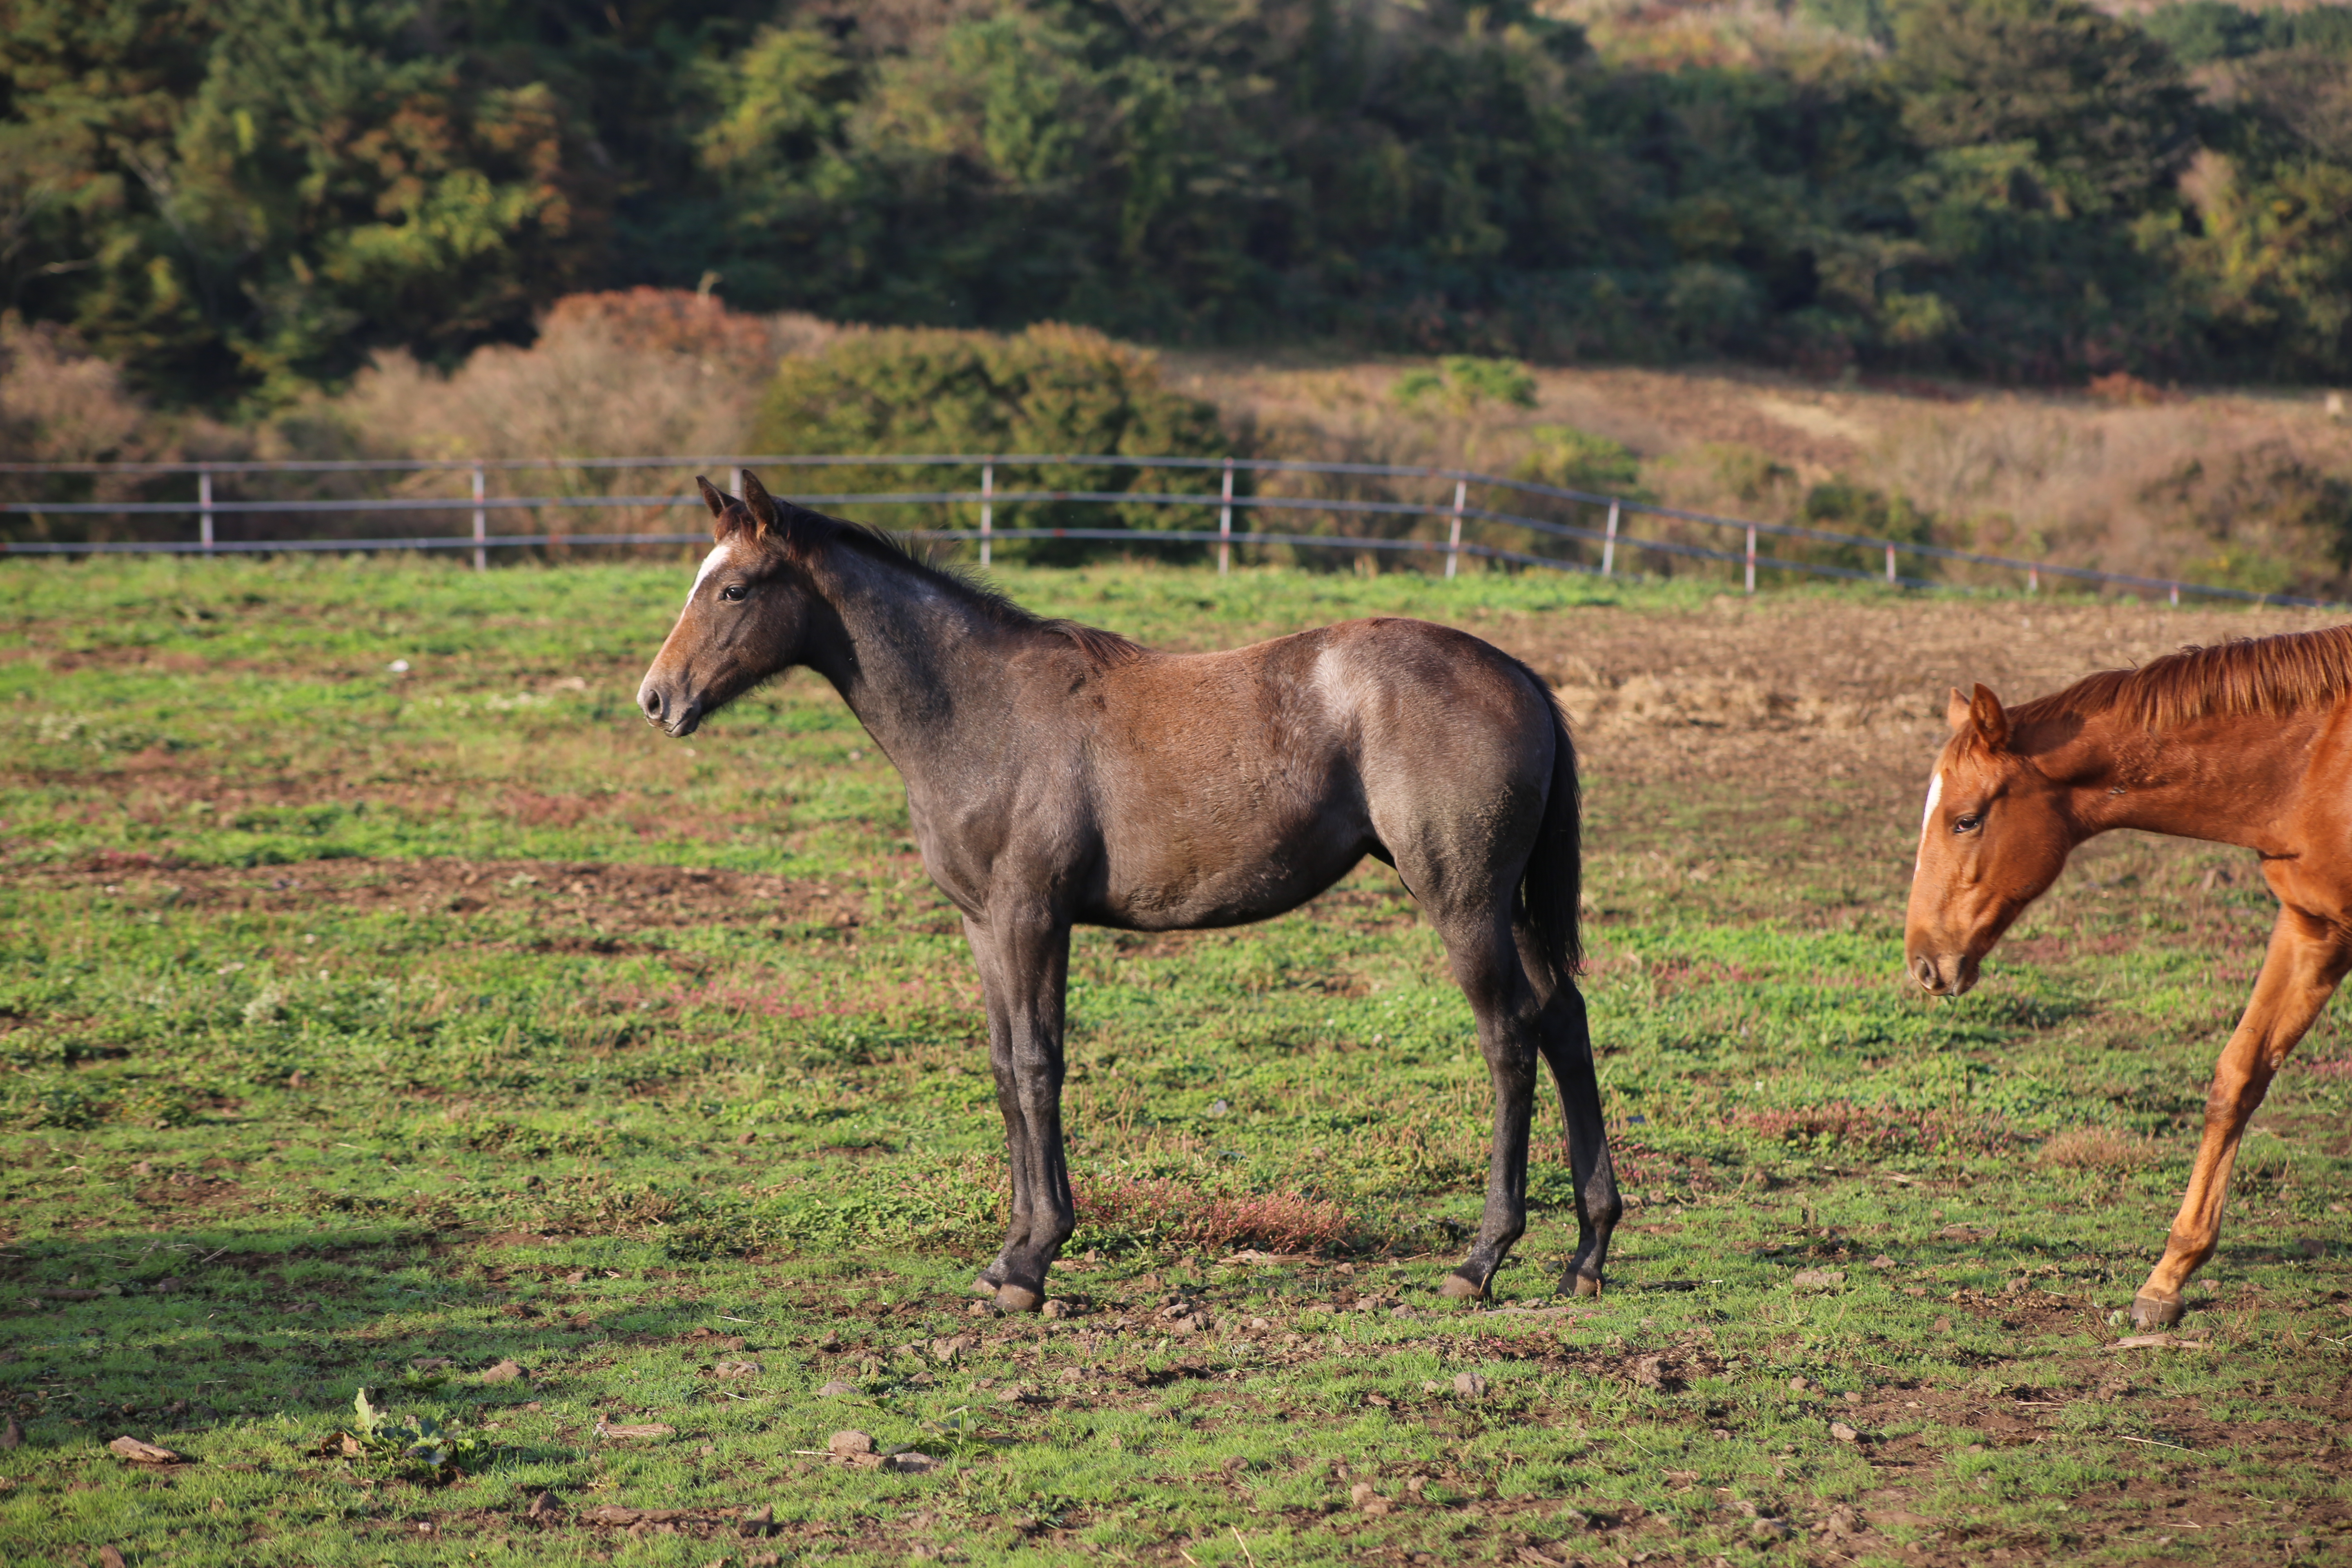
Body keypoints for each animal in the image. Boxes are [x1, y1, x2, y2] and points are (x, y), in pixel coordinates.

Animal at [630, 474, 1618, 1316]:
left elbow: (1040, 1068)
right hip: (1509, 905)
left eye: (734, 591)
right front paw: (1008, 1255)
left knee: (1509, 1038)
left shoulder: (1033, 917)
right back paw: (1587, 1253)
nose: (656, 700)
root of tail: (1520, 675)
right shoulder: (984, 924)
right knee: (1564, 1022)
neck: (984, 712)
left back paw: (1481, 1260)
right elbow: (1006, 1070)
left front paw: (1032, 1264)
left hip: (1463, 901)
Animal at [1900, 620, 2352, 1326]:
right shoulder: (2314, 927)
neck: (2313, 764)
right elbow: (2238, 1078)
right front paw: (2167, 1281)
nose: (1923, 961)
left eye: (1966, 820)